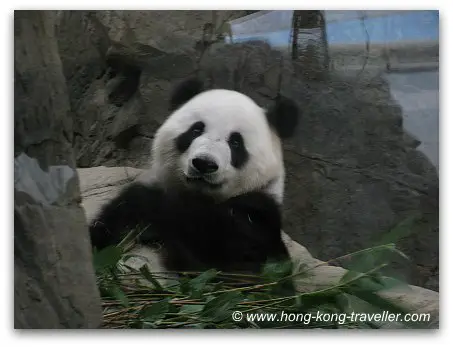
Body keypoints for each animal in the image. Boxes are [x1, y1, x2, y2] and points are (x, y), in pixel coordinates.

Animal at [89, 78, 298, 278]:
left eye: (236, 142)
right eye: (196, 130)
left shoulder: (256, 220)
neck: (199, 197)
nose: (204, 163)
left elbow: (227, 268)